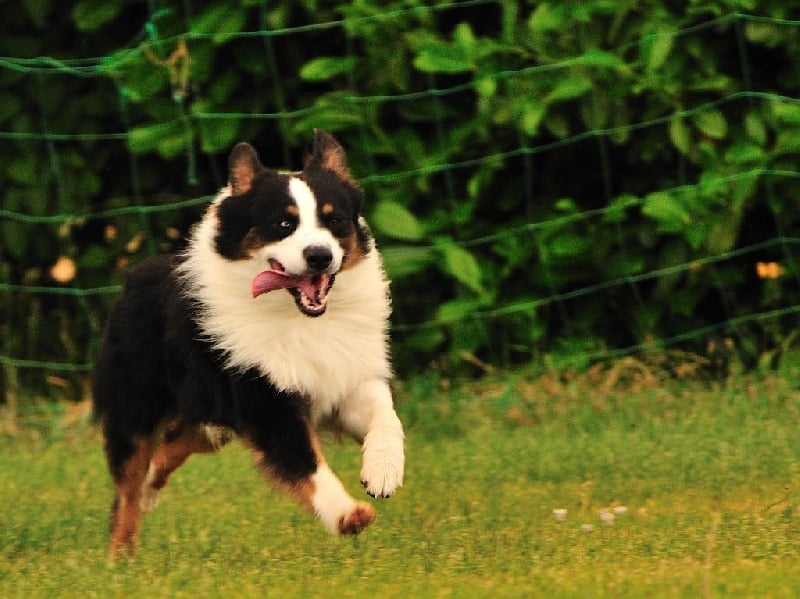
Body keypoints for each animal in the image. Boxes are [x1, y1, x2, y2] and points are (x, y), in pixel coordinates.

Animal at [92, 129, 405, 556]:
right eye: (284, 223)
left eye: (335, 220)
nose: (320, 256)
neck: (299, 318)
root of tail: (136, 272)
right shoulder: (263, 397)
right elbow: (304, 461)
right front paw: (347, 515)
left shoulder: (346, 377)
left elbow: (386, 416)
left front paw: (383, 471)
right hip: (138, 402)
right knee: (127, 483)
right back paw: (119, 555)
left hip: (209, 415)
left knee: (171, 447)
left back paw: (149, 491)